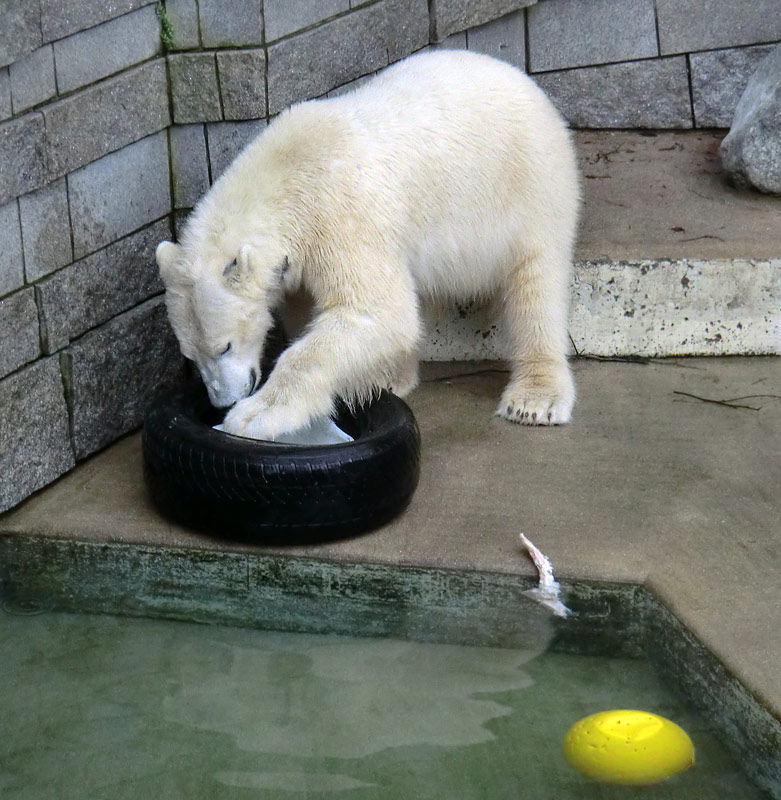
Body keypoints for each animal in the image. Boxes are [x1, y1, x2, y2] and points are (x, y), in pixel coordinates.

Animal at [155, 51, 580, 438]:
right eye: (190, 355)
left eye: (224, 346)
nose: (223, 400)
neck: (286, 177)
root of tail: (524, 80)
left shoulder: (341, 216)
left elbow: (375, 311)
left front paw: (253, 416)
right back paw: (390, 376)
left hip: (528, 185)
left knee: (535, 284)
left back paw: (534, 398)